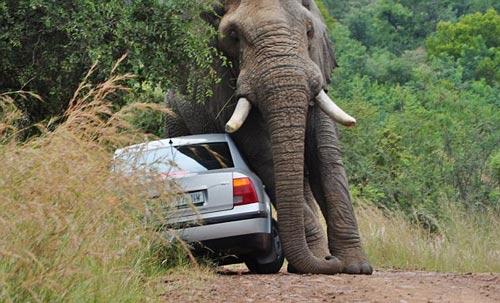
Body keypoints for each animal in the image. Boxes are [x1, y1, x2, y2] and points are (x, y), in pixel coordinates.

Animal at [164, 0, 372, 276]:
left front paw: (357, 267)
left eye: (309, 31)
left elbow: (325, 150)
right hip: (174, 117)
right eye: (233, 37)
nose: (331, 260)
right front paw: (325, 261)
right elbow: (263, 152)